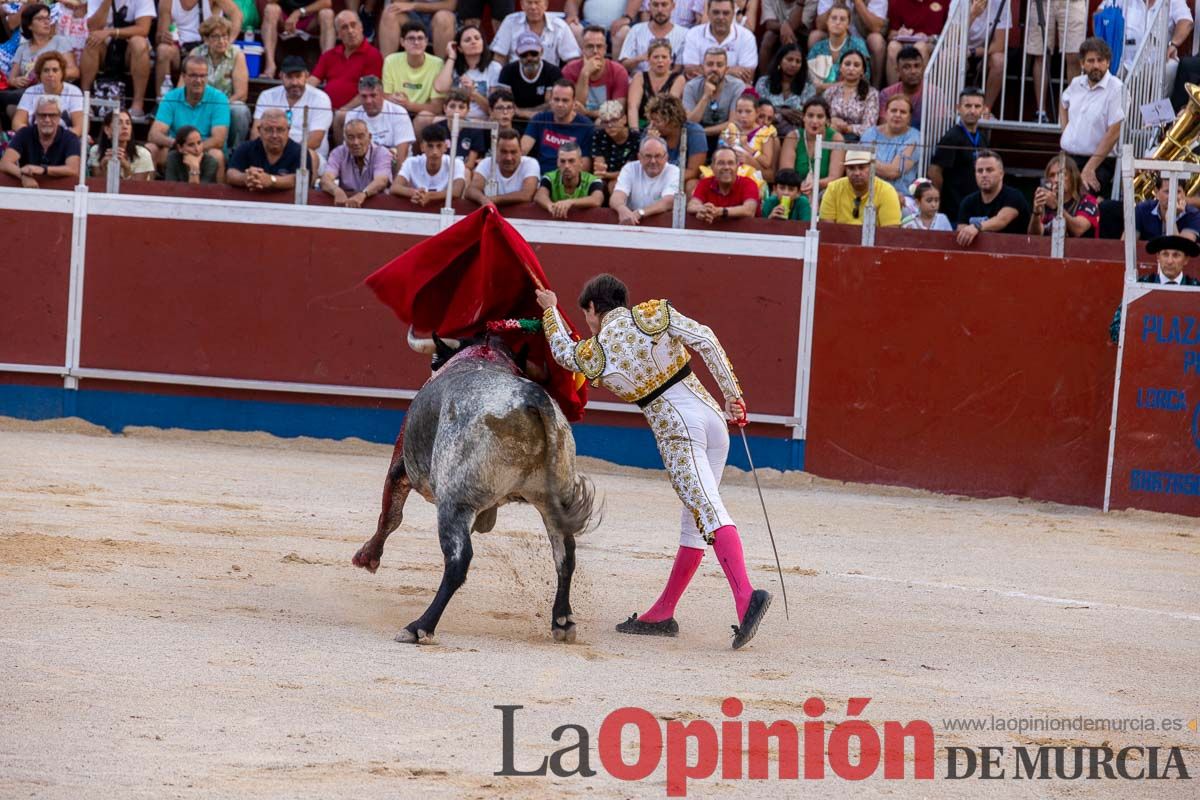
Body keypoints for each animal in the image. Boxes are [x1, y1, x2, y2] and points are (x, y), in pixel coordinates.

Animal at [350, 331, 595, 642]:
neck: (484, 355)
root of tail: (532, 398)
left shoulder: (400, 466)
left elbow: (390, 516)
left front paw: (368, 557)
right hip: (554, 500)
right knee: (565, 554)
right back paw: (562, 621)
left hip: (455, 503)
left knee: (458, 561)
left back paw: (419, 627)